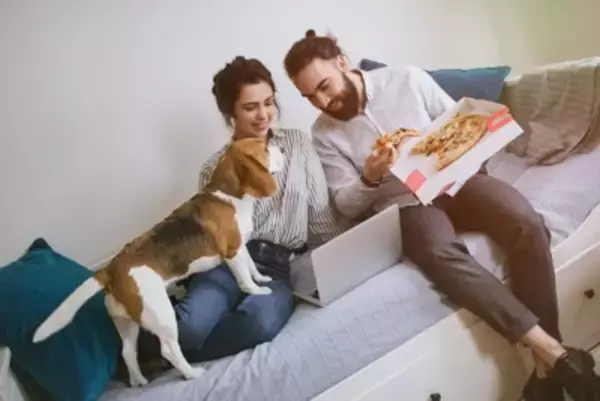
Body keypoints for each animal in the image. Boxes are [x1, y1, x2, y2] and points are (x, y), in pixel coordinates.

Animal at [32, 137, 283, 387]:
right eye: (264, 147)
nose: (280, 146)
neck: (229, 195)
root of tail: (111, 269)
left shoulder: (242, 247)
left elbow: (251, 267)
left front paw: (262, 278)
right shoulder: (233, 252)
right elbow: (245, 279)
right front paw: (258, 290)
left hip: (127, 322)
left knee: (127, 352)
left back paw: (139, 381)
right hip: (162, 314)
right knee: (169, 350)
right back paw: (191, 373)